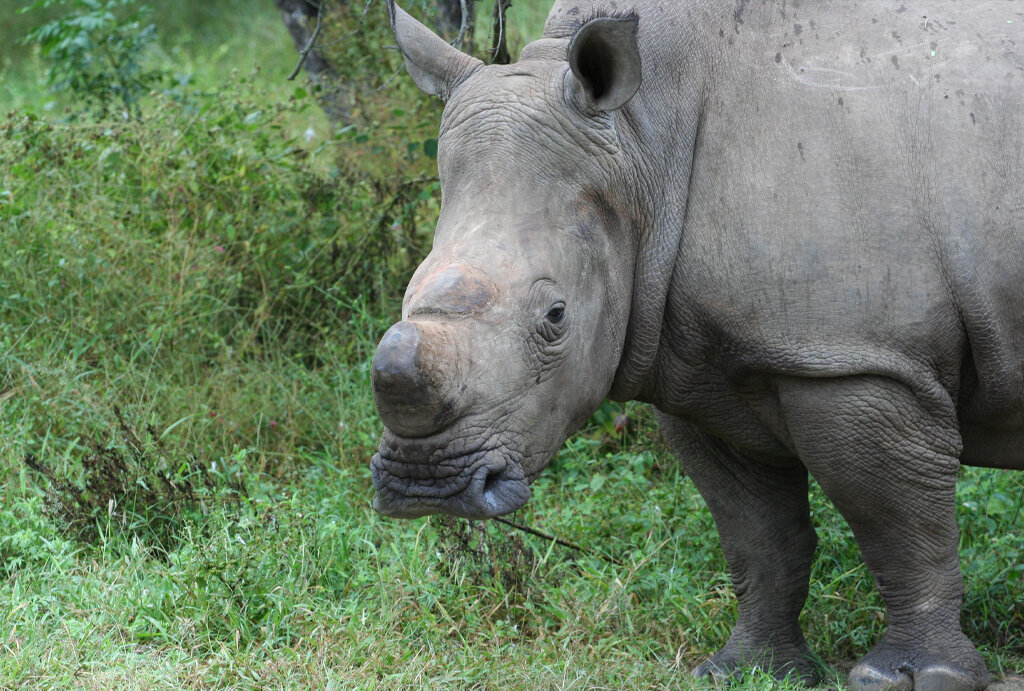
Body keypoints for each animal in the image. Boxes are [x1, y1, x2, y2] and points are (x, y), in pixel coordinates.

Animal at [369, 0, 1024, 688]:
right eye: (408, 291)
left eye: (556, 316)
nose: (426, 485)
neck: (643, 139)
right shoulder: (705, 369)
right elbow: (756, 534)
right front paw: (747, 670)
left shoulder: (856, 359)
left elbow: (900, 527)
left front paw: (914, 677)